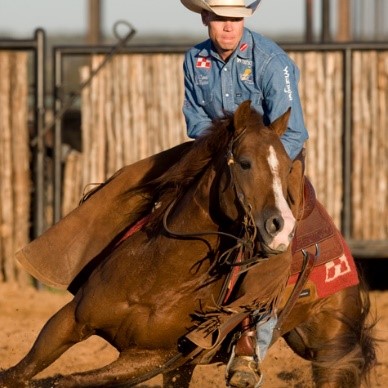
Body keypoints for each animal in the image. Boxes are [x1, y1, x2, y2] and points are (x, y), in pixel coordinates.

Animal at [0, 101, 376, 388]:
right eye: (244, 162)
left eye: (287, 169)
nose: (282, 228)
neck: (158, 279)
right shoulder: (71, 319)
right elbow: (20, 373)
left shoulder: (151, 358)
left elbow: (61, 380)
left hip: (332, 352)